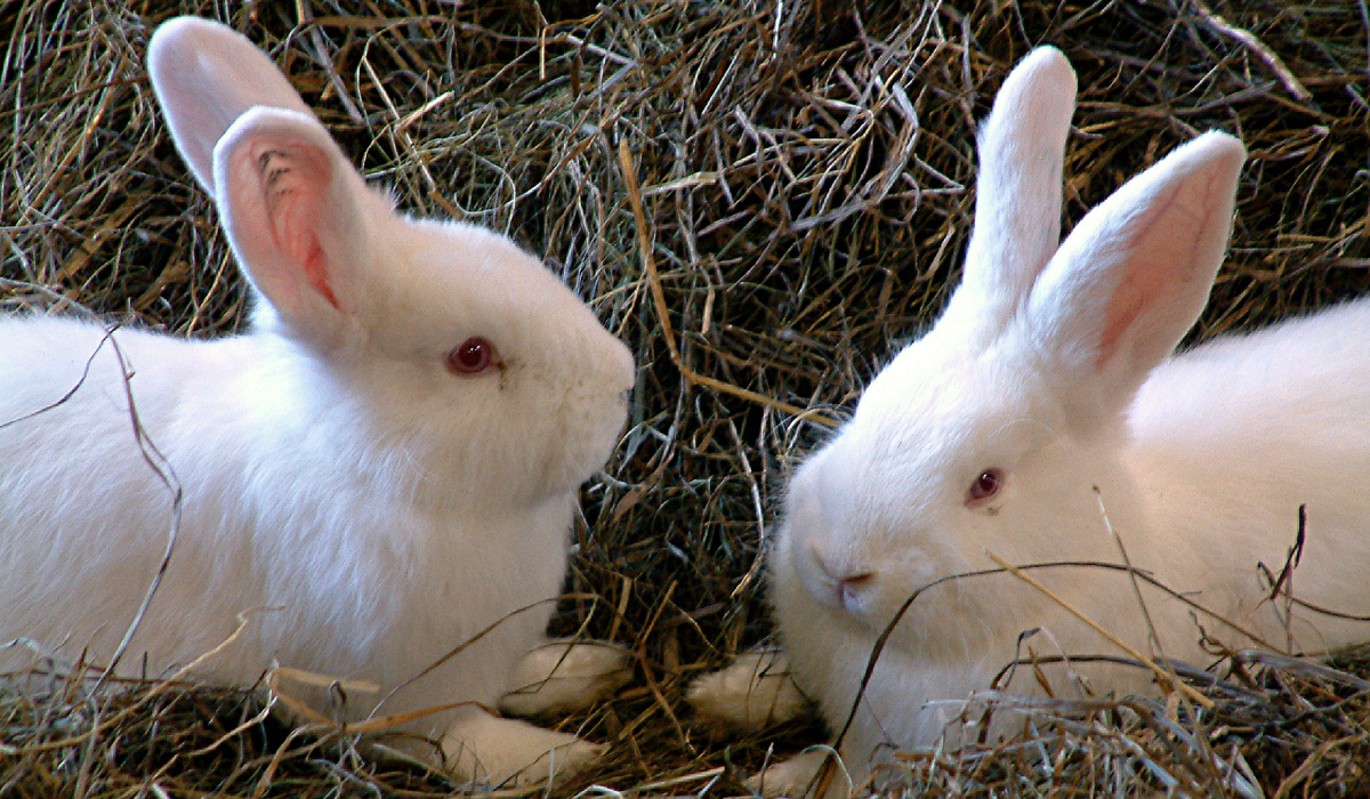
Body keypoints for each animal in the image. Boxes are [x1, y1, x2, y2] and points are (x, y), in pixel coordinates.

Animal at [0, 15, 630, 789]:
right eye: (473, 356)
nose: (623, 384)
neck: (367, 472)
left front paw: (586, 665)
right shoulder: (392, 699)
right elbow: (462, 743)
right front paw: (561, 754)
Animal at [695, 48, 1370, 794]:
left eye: (986, 483)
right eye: (867, 402)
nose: (840, 568)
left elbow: (837, 773)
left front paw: (768, 777)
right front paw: (720, 696)